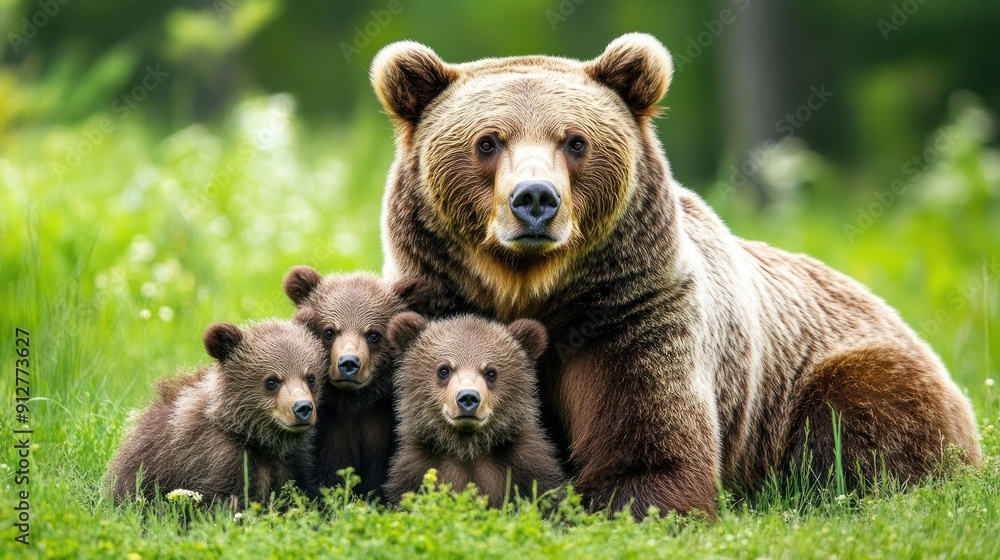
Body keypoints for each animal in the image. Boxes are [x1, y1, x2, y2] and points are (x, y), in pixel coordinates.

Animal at [383, 312, 565, 508]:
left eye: (491, 372)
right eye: (444, 370)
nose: (468, 398)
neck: (468, 449)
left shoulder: (527, 465)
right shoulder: (416, 468)